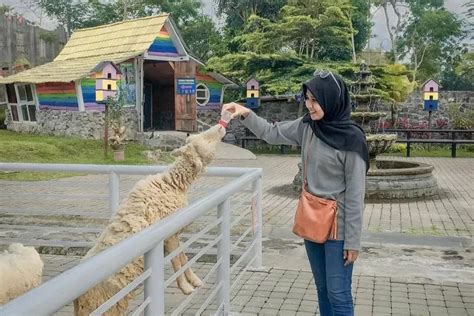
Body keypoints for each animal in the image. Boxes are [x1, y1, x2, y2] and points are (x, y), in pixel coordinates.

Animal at [75, 124, 227, 314]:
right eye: (204, 140)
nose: (221, 126)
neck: (171, 183)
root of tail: (78, 301)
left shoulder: (174, 232)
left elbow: (183, 257)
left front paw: (194, 281)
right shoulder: (168, 234)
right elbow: (177, 261)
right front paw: (186, 288)